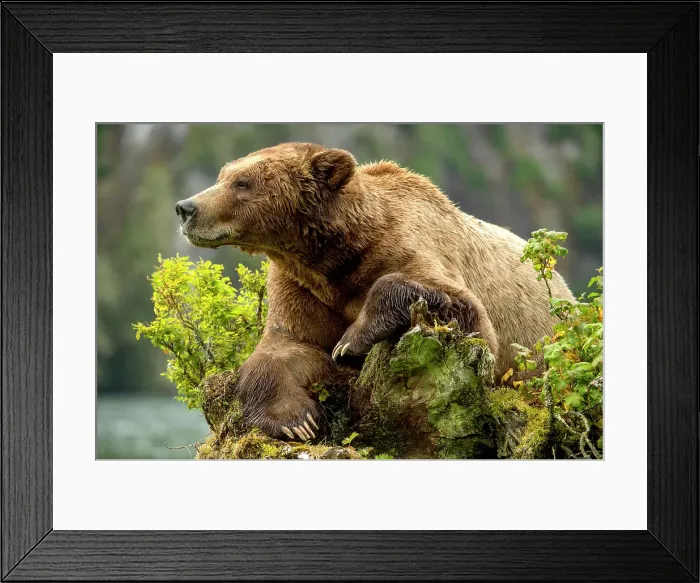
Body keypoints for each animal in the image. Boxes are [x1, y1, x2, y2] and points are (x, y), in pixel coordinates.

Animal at [175, 142, 574, 441]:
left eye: (242, 182)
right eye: (224, 175)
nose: (186, 207)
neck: (334, 258)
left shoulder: (413, 247)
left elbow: (465, 313)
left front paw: (352, 340)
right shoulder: (301, 287)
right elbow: (286, 346)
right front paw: (296, 421)